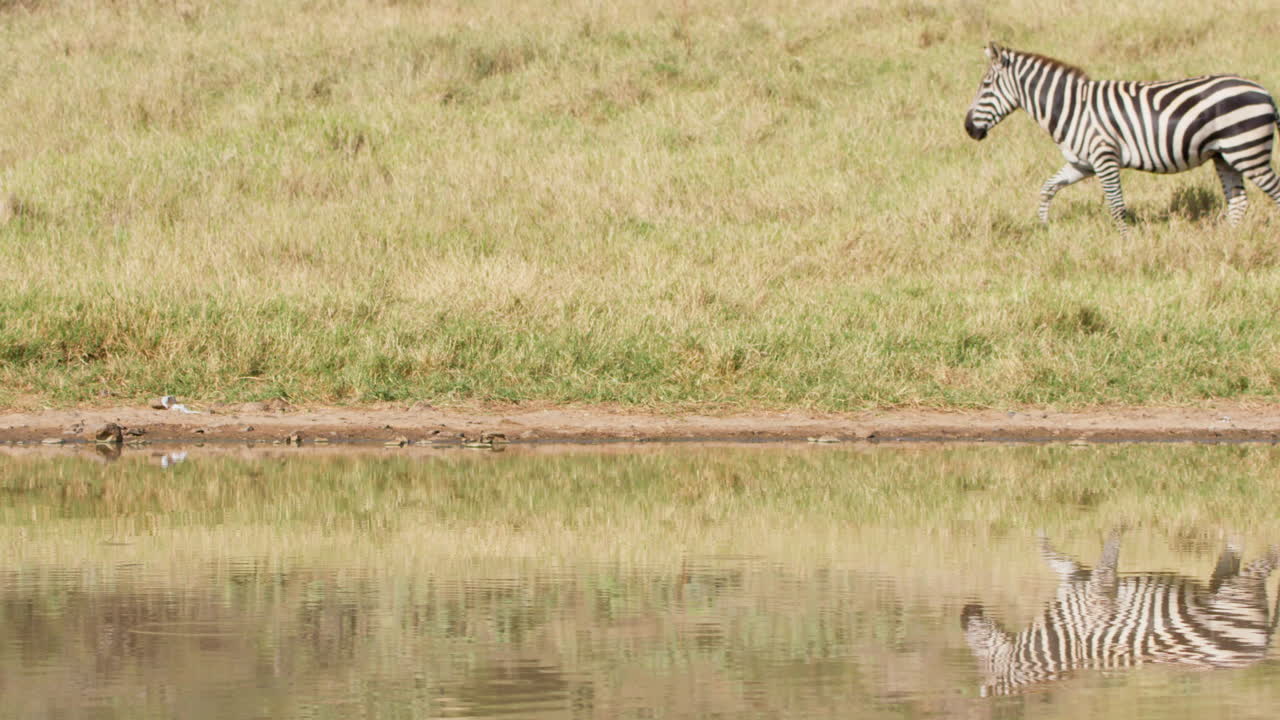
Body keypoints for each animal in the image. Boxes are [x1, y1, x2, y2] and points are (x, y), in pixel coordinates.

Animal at [962, 532, 1279, 696]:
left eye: (983, 656)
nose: (964, 613)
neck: (1060, 639)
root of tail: (1260, 651)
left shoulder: (1093, 593)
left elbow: (1107, 559)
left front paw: (1118, 529)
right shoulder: (1076, 581)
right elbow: (1055, 559)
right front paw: (1041, 538)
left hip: (1239, 590)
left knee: (1268, 559)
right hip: (1225, 584)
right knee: (1236, 552)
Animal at [964, 43, 1280, 231]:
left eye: (986, 85)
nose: (968, 128)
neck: (1071, 108)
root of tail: (1264, 92)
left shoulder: (1104, 157)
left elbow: (1116, 205)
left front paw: (1125, 243)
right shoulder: (1082, 164)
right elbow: (1048, 188)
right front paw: (1044, 227)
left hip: (1247, 150)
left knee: (1273, 192)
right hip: (1225, 155)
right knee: (1238, 202)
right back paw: (1229, 240)